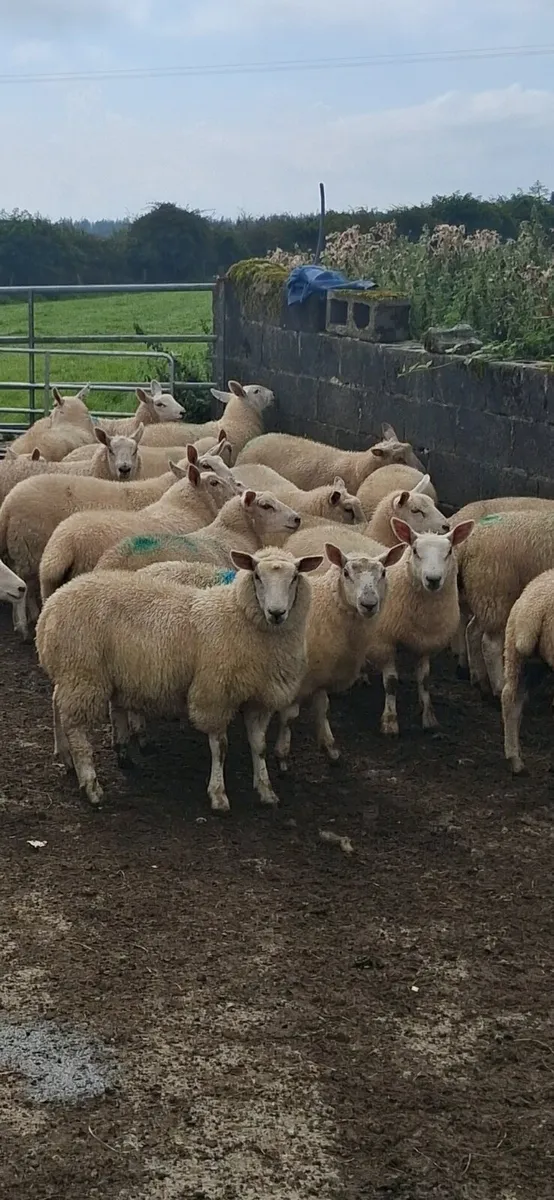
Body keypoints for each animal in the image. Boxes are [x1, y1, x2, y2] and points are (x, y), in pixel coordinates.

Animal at [36, 547, 322, 811]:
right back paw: (91, 784)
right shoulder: (213, 694)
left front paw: (266, 790)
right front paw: (218, 795)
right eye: (257, 576)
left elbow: (259, 746)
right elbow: (220, 747)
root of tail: (51, 606)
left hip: (74, 674)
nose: (277, 612)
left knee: (57, 704)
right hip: (83, 672)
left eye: (295, 577)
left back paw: (67, 757)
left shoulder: (259, 698)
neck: (239, 616)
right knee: (76, 728)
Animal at [273, 541, 406, 771]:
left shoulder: (320, 673)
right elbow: (289, 717)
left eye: (383, 572)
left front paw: (329, 747)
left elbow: (322, 708)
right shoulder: (295, 678)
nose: (369, 604)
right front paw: (282, 754)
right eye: (346, 573)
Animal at [363, 517, 474, 735]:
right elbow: (391, 683)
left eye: (449, 551)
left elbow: (425, 680)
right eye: (415, 550)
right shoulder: (385, 641)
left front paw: (429, 717)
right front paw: (390, 721)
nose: (433, 580)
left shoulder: (425, 642)